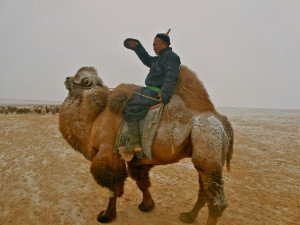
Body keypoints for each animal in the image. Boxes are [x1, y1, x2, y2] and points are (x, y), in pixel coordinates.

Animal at [58, 64, 234, 223]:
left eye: (82, 80)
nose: (66, 79)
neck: (95, 119)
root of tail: (223, 122)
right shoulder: (137, 160)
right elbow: (142, 182)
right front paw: (147, 206)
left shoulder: (108, 153)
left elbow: (113, 187)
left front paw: (106, 216)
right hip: (204, 156)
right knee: (204, 191)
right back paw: (188, 216)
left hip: (208, 144)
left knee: (217, 201)